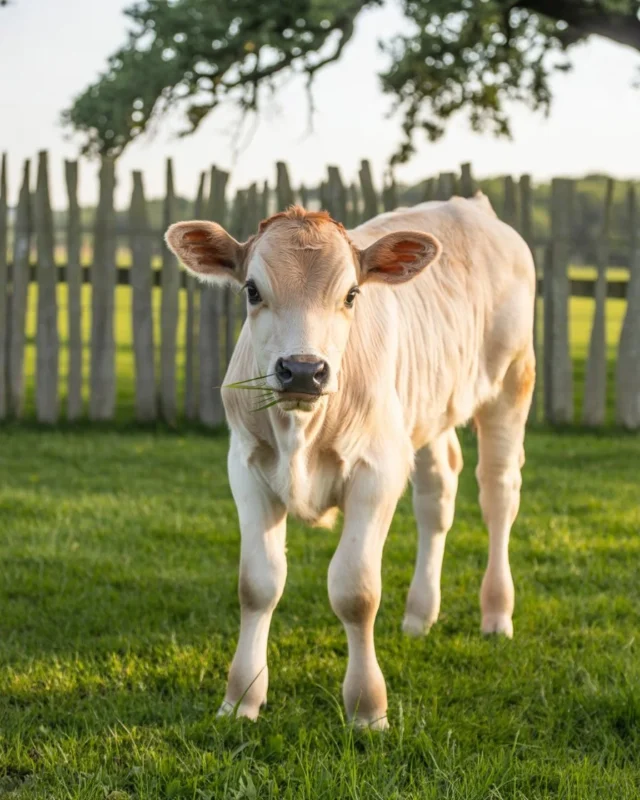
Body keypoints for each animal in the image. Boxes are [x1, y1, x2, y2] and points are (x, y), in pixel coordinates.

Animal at [165, 194, 536, 730]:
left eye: (352, 294)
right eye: (252, 290)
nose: (303, 370)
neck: (301, 432)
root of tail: (472, 206)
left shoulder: (376, 473)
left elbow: (355, 592)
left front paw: (367, 707)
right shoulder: (247, 467)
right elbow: (257, 584)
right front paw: (241, 698)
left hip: (512, 382)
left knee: (499, 496)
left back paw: (496, 614)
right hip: (426, 411)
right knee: (437, 496)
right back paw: (419, 615)